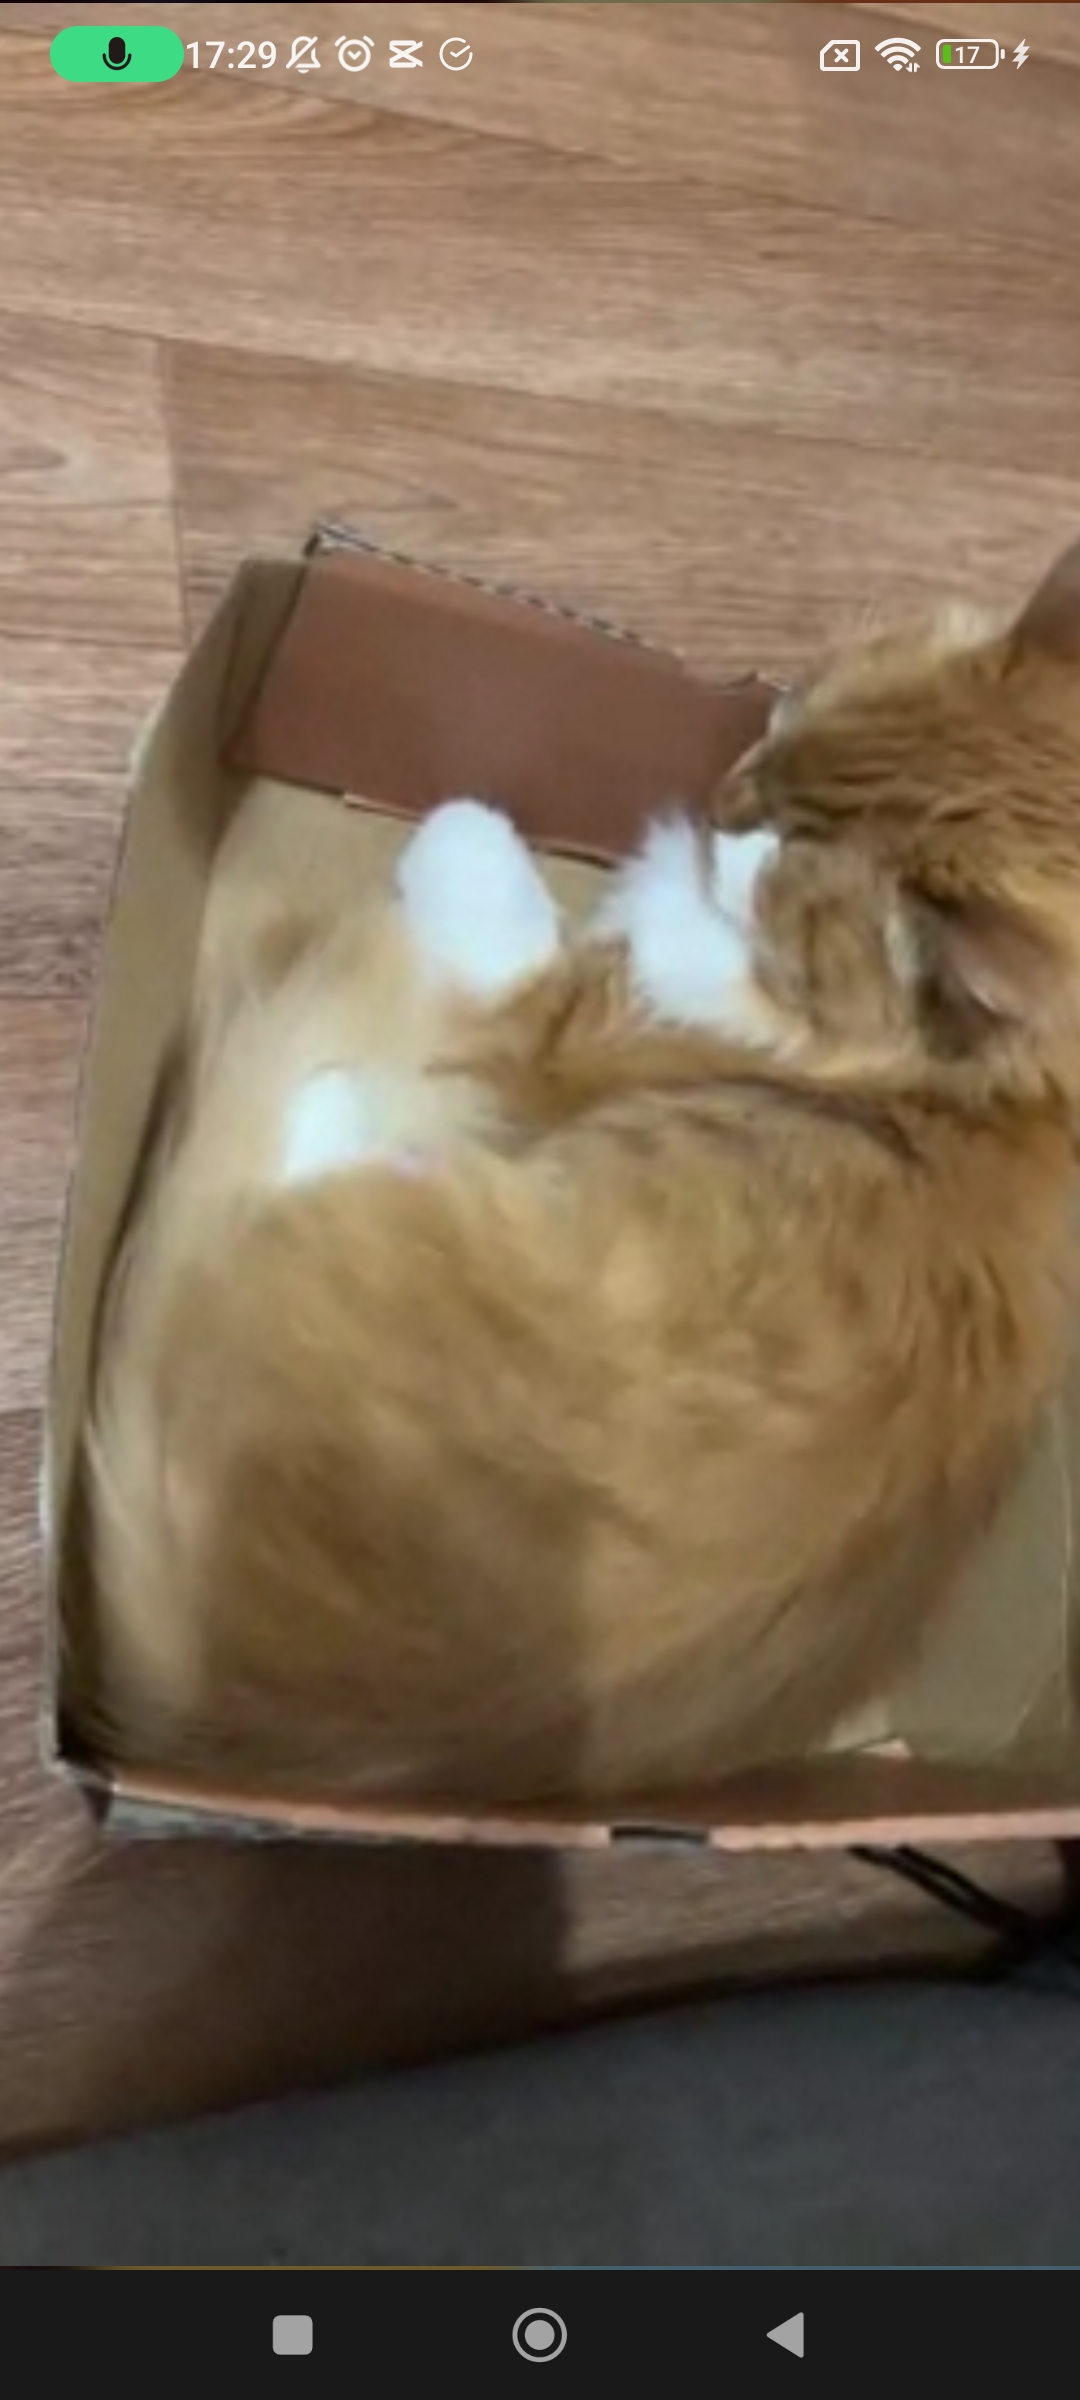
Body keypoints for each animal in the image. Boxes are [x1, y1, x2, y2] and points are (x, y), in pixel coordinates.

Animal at [80, 540, 1080, 1806]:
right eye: (786, 725)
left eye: (788, 878)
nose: (718, 812)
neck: (1006, 1096)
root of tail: (202, 1711)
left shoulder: (553, 1029)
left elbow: (487, 887)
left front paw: (469, 824)